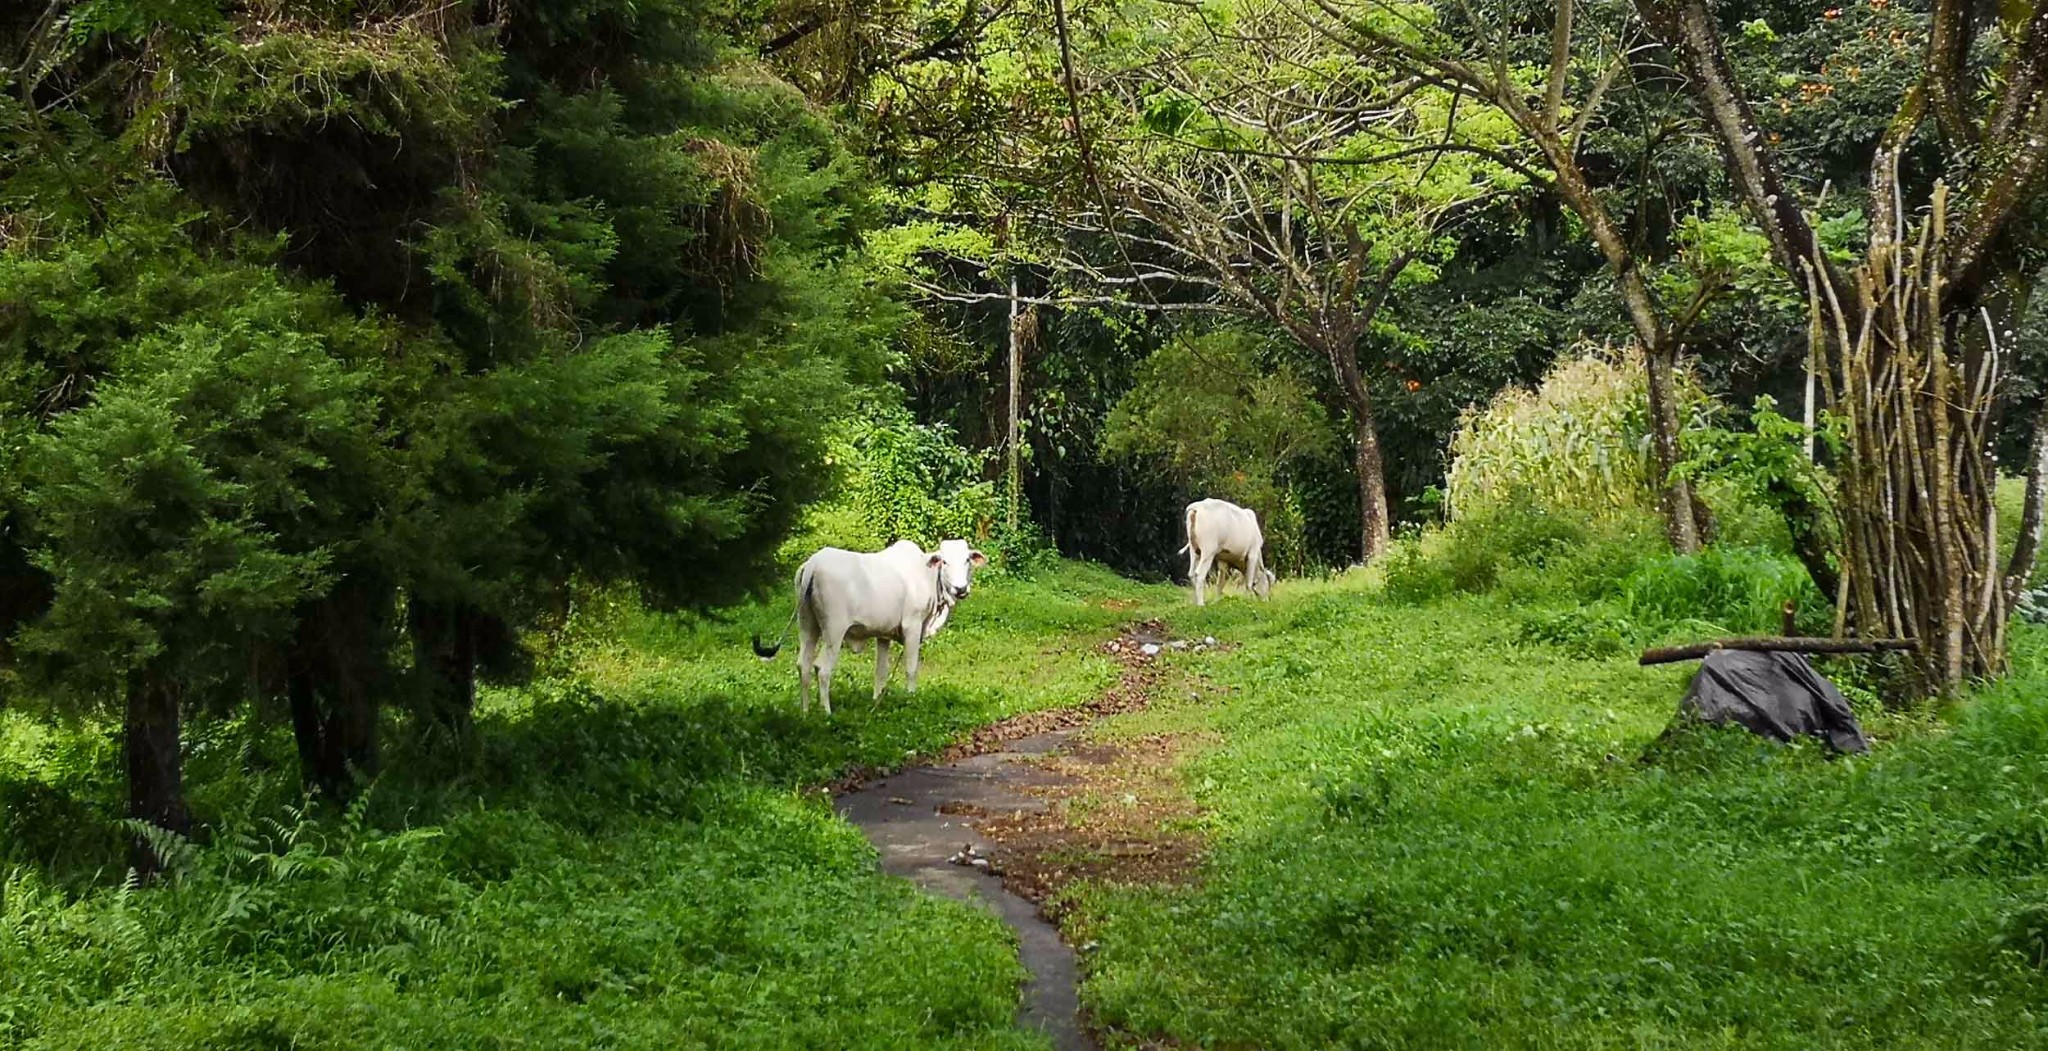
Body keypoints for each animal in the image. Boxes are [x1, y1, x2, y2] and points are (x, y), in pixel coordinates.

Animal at [753, 540, 983, 712]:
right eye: (944, 561)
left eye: (967, 560)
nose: (961, 588)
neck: (925, 574)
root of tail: (813, 564)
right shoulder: (913, 626)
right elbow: (911, 668)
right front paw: (911, 698)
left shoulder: (884, 635)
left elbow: (881, 671)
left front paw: (877, 701)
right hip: (834, 630)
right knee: (823, 668)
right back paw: (826, 712)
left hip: (807, 625)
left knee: (804, 665)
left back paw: (805, 711)